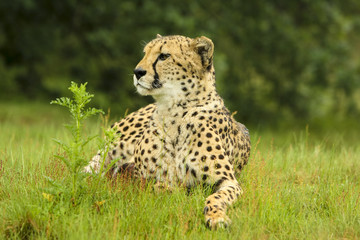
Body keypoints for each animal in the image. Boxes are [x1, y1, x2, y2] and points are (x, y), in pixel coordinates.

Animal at [86, 34, 252, 229]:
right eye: (145, 53)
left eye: (164, 56)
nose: (137, 71)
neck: (174, 111)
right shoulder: (140, 176)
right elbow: (155, 185)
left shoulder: (229, 181)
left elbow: (216, 197)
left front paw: (217, 216)